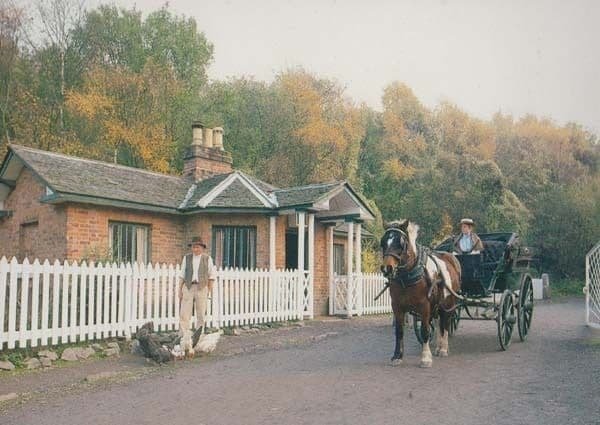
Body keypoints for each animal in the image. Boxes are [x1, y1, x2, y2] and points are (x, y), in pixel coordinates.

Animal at [382, 219, 462, 368]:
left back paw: (443, 349)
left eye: (401, 243)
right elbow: (399, 331)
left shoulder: (424, 307)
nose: (386, 268)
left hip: (449, 304)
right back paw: (438, 347)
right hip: (437, 306)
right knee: (439, 323)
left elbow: (425, 330)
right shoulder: (397, 307)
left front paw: (425, 358)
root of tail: (450, 257)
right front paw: (397, 356)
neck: (408, 277)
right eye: (383, 242)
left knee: (446, 323)